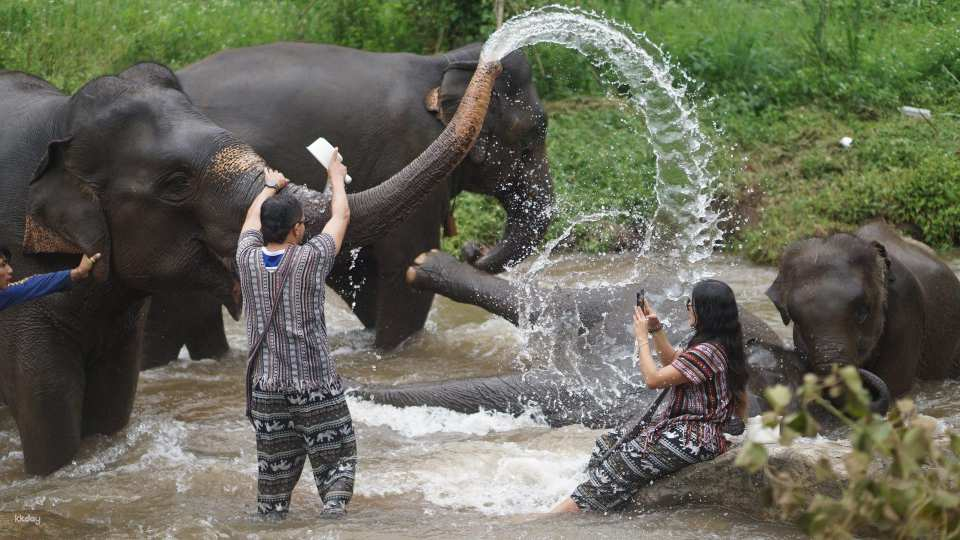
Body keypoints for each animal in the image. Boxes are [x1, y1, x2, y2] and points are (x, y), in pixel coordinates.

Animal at [137, 41, 555, 367]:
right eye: (531, 140)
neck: (442, 63)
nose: (474, 249)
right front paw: (392, 353)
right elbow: (403, 266)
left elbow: (366, 272)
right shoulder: (408, 148)